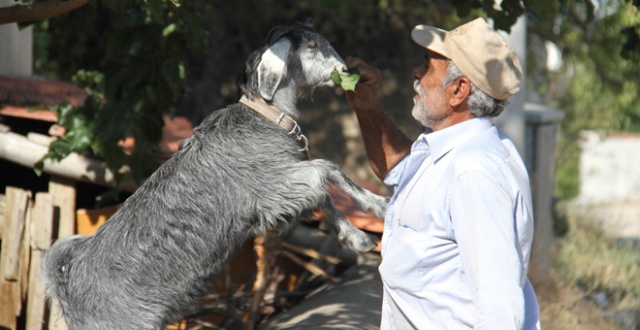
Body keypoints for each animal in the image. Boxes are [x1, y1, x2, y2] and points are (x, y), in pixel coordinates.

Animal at [42, 21, 388, 328]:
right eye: (312, 46)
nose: (344, 68)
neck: (264, 118)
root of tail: (67, 282)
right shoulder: (271, 188)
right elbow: (326, 170)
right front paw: (373, 215)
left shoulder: (281, 196)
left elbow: (322, 190)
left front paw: (362, 231)